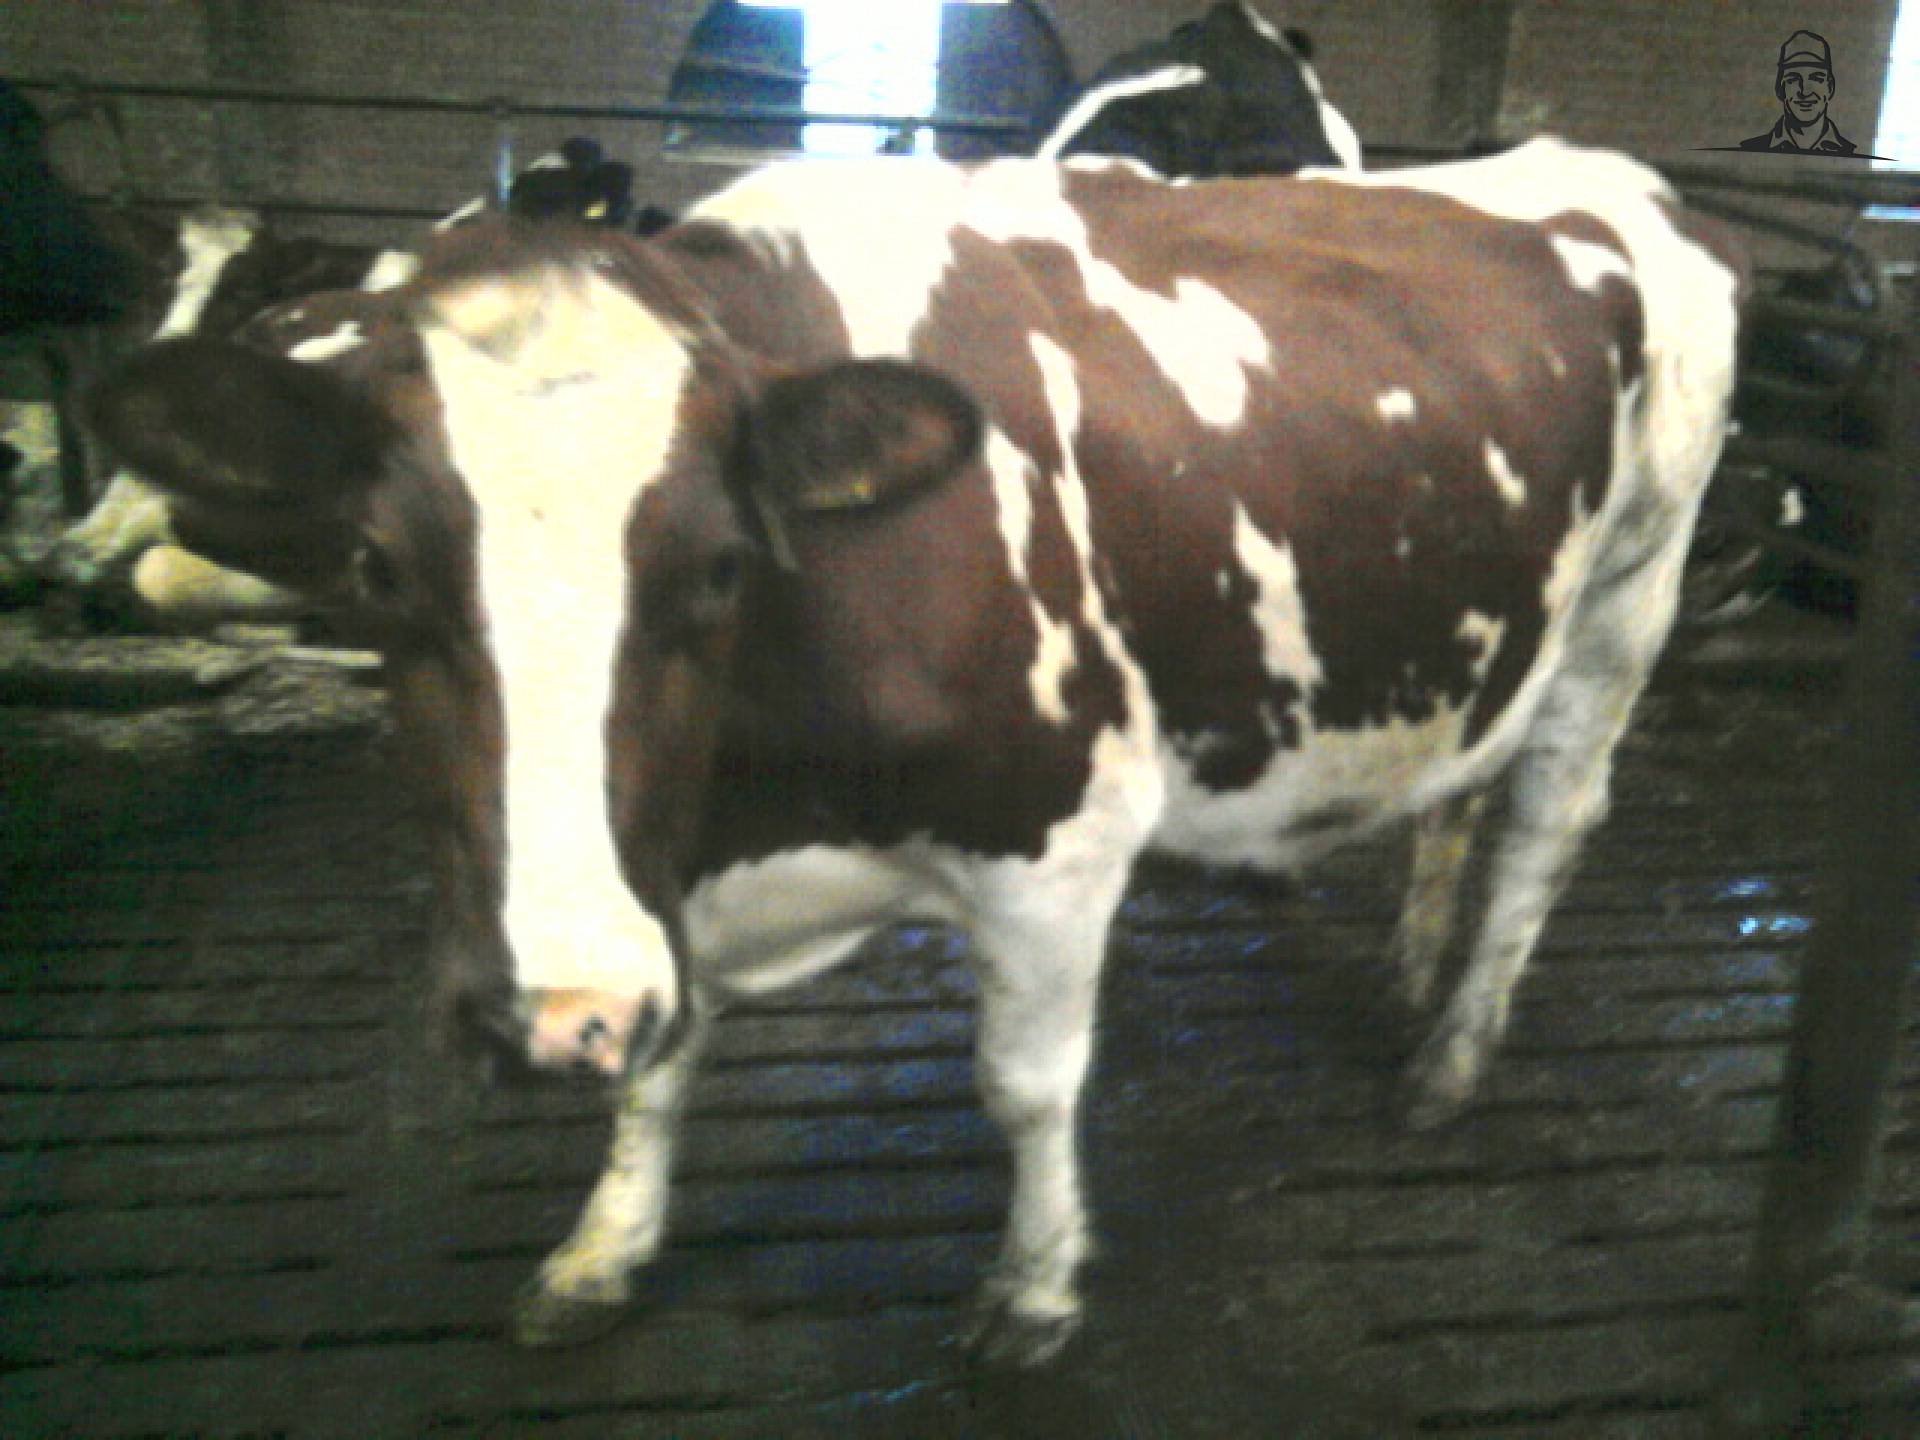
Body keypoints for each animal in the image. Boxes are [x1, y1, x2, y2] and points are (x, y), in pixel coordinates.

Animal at [87, 139, 1746, 1365]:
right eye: (376, 568)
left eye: (718, 567)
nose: (550, 1012)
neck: (760, 795)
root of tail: (1588, 164)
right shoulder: (668, 861)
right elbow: (664, 1061)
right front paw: (604, 1247)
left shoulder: (1062, 835)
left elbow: (1025, 1081)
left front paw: (1034, 1289)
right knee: (1454, 794)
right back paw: (1410, 974)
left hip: (1628, 596)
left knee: (1544, 826)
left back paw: (1450, 1056)